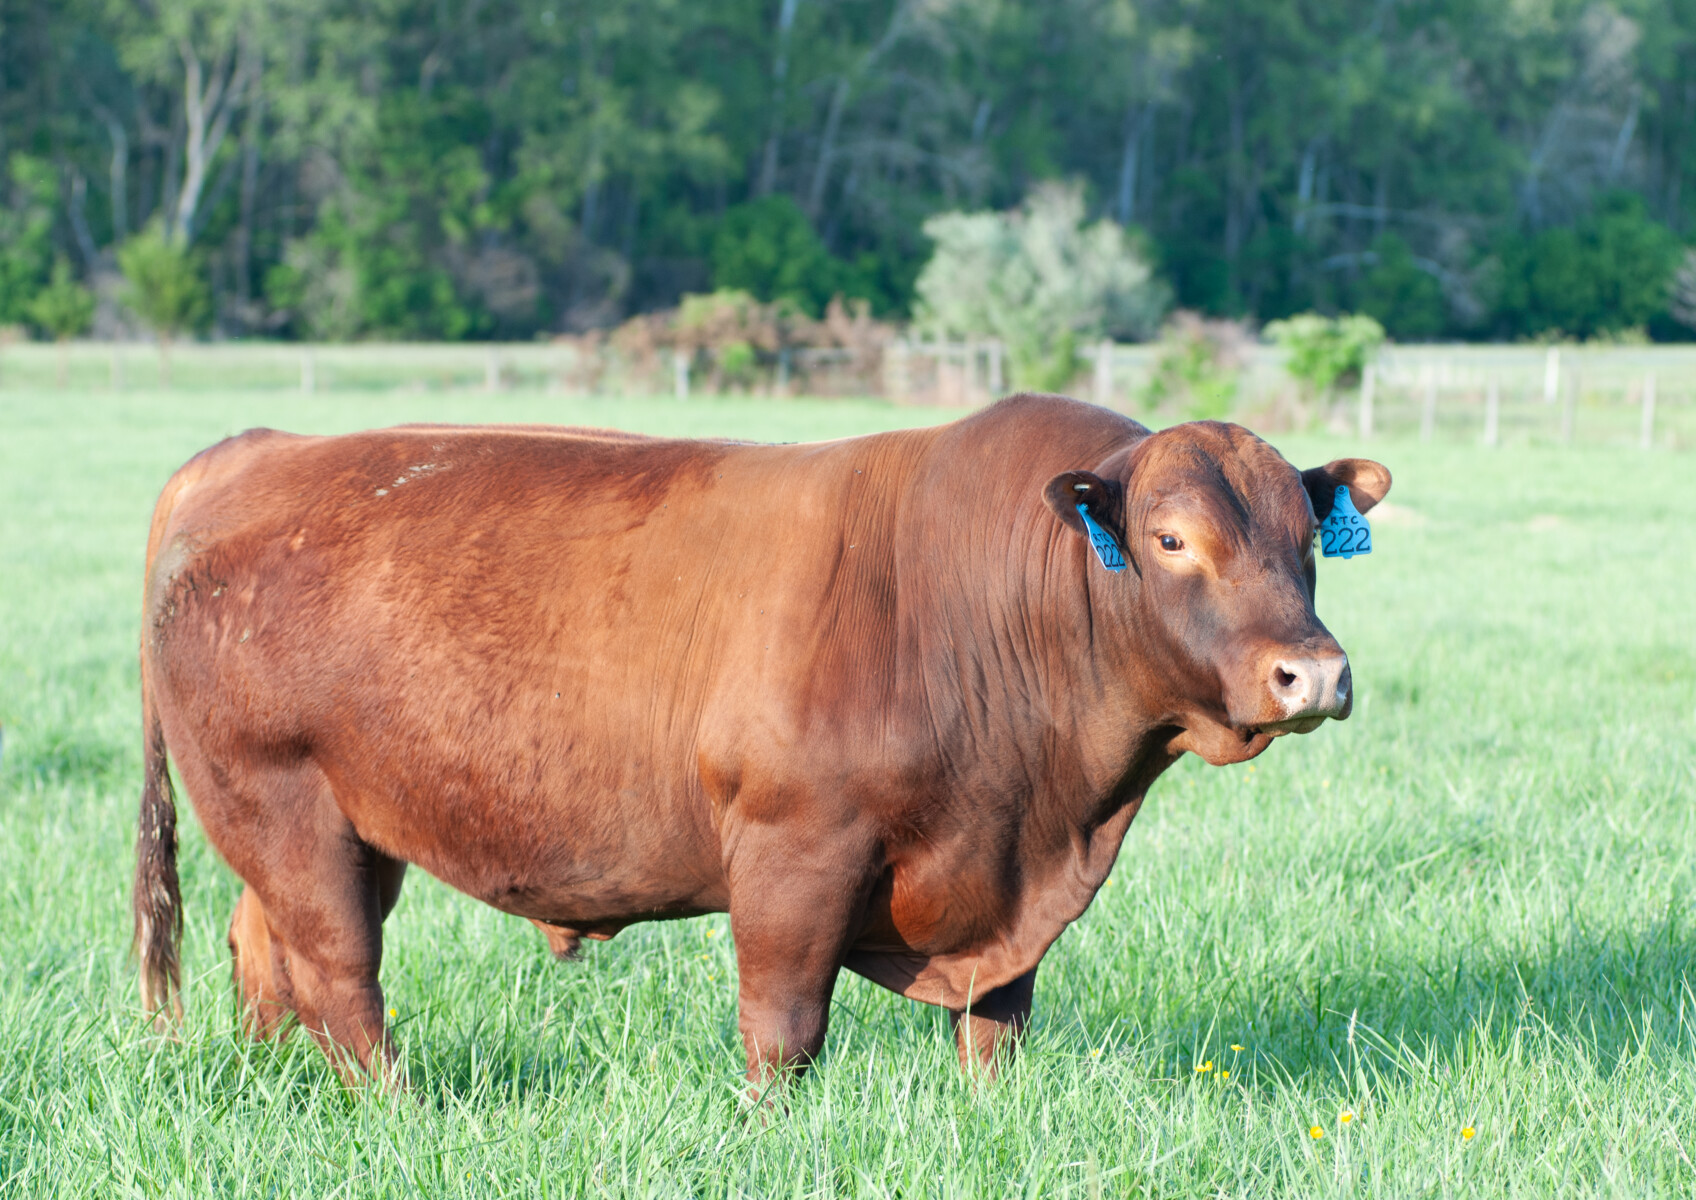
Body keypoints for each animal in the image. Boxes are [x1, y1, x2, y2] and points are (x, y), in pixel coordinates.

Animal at [132, 393, 1390, 1087]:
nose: (1314, 672)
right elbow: (785, 1026)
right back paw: (393, 1106)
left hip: (349, 820)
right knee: (339, 972)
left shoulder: (1012, 880)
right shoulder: (796, 848)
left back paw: (270, 1079)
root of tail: (252, 451)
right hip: (275, 799)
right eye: (1171, 538)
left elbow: (999, 1021)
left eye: (1304, 538)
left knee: (265, 949)